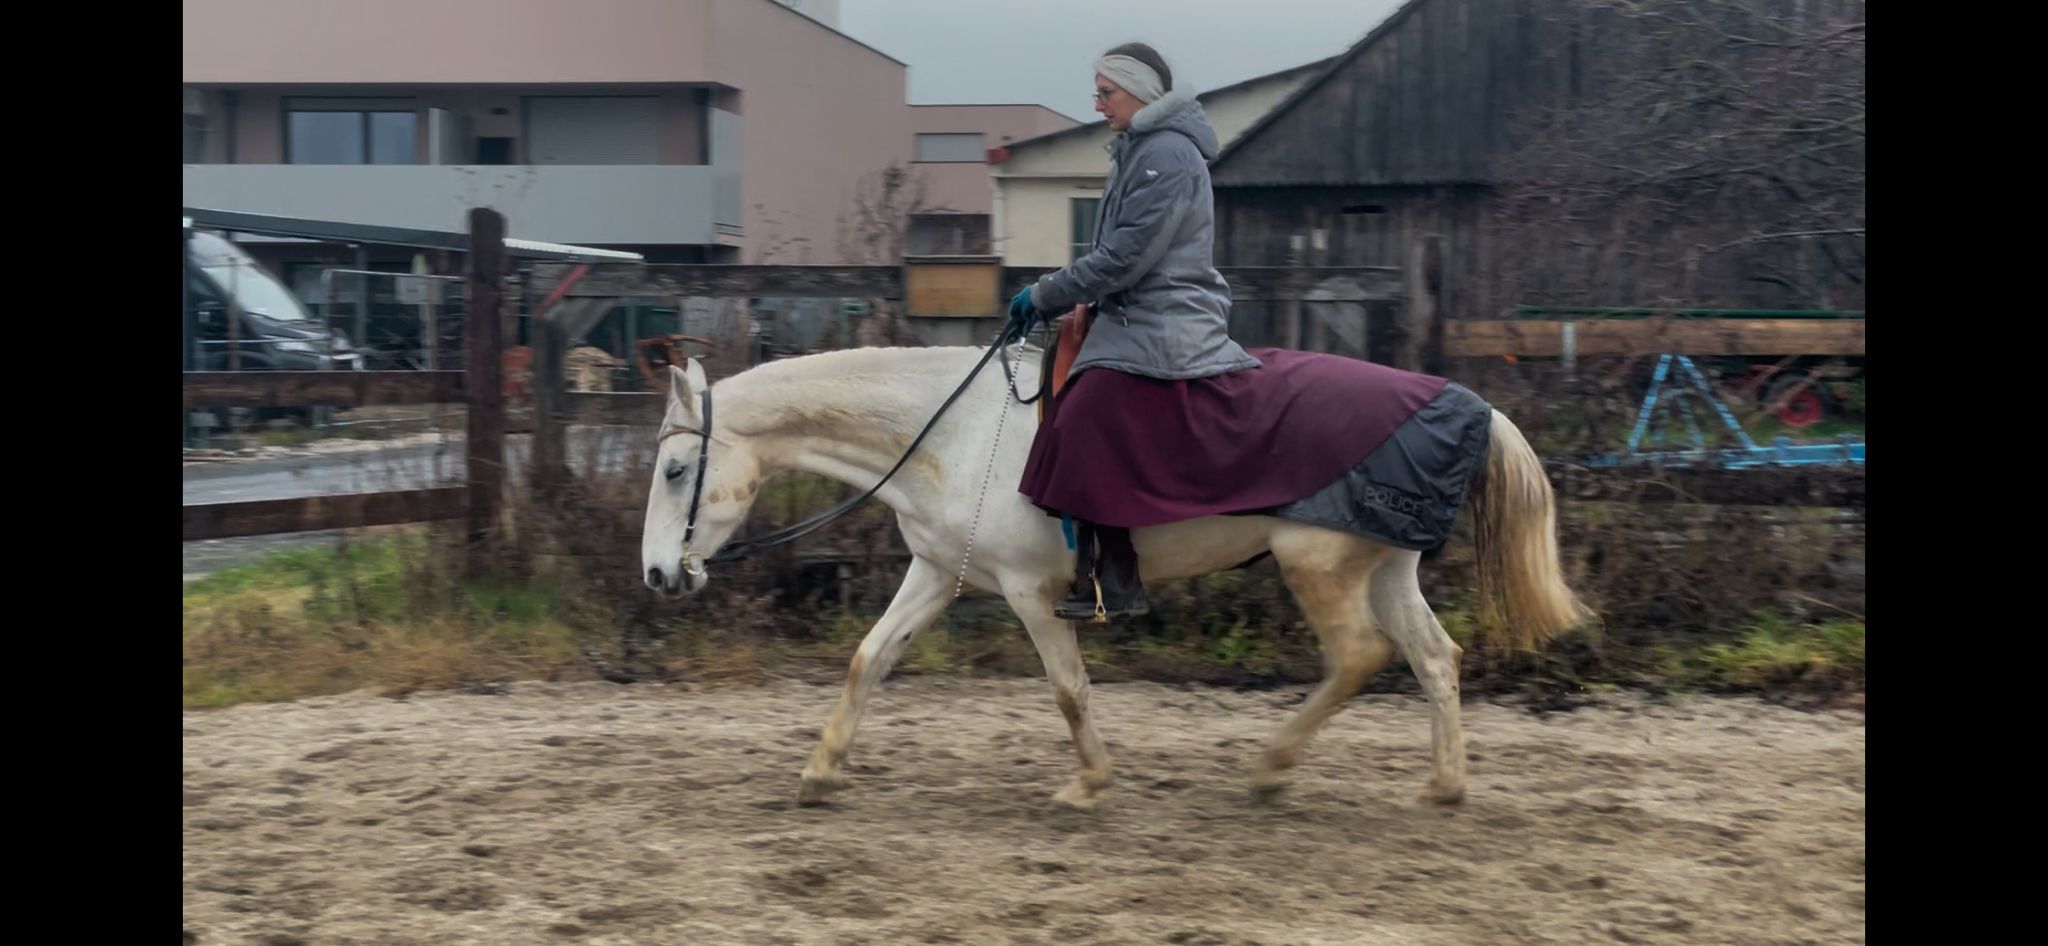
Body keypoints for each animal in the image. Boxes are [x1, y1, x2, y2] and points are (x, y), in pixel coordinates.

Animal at [641, 345, 1589, 810]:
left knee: (1358, 657)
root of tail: (1461, 401)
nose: (656, 574)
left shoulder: (1030, 592)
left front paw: (1087, 786)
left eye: (677, 471)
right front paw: (819, 774)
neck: (955, 434)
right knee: (1435, 660)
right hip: (1387, 566)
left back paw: (1272, 770)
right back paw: (1443, 785)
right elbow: (868, 660)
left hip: (1317, 566)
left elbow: (1068, 691)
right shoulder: (937, 572)